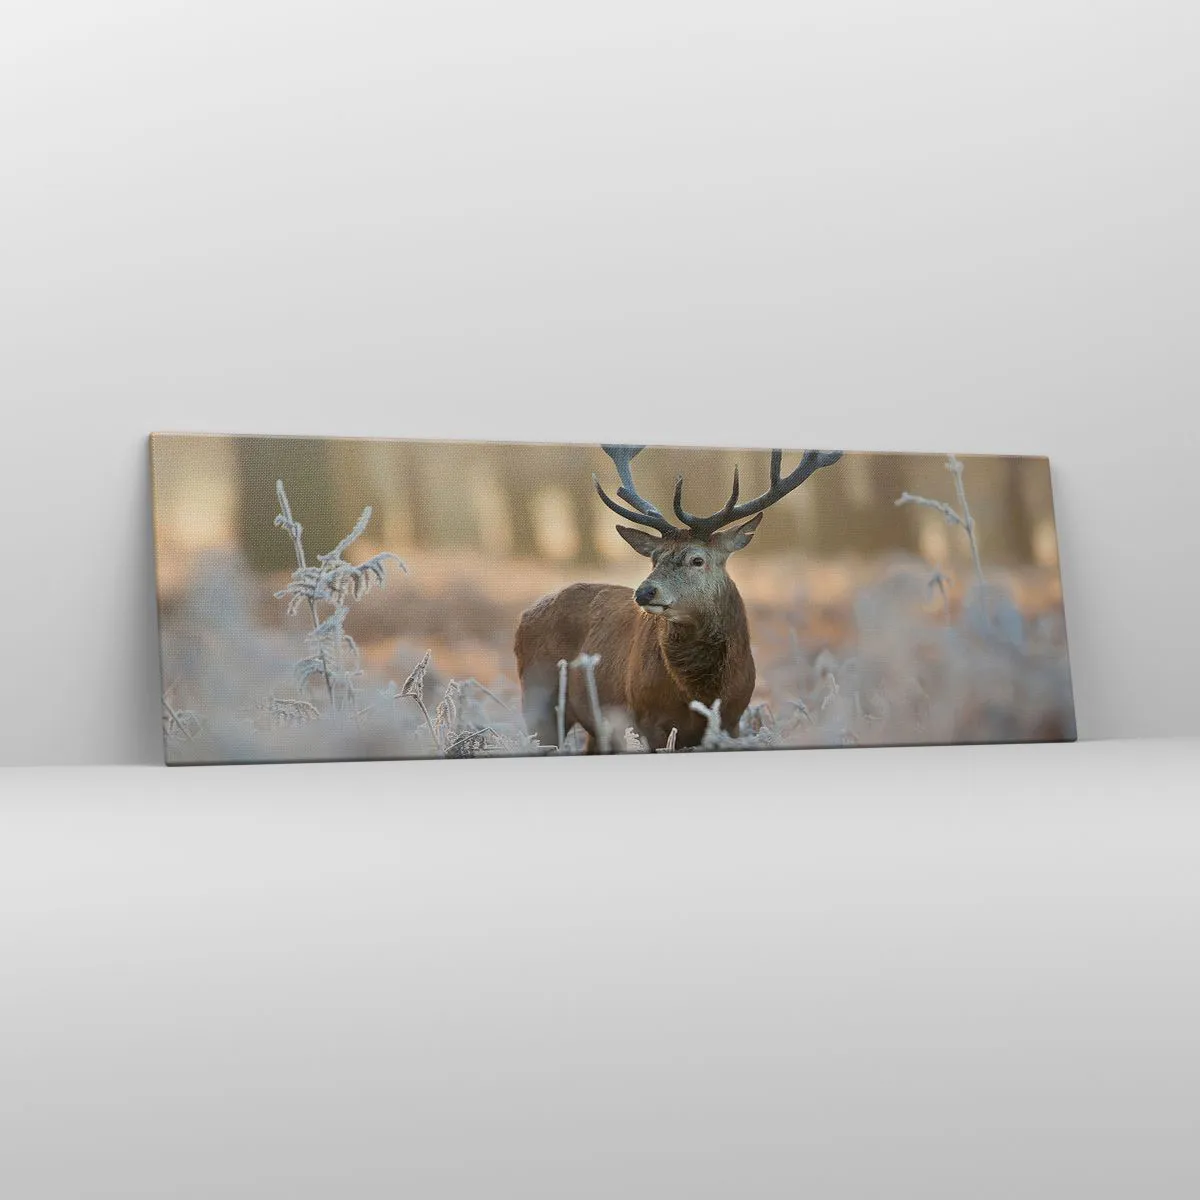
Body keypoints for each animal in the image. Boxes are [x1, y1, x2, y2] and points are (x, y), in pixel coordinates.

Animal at [514, 444, 843, 752]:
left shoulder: (733, 720)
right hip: (539, 699)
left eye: (697, 560)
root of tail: (524, 616)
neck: (702, 693)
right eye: (654, 558)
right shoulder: (647, 720)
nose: (644, 591)